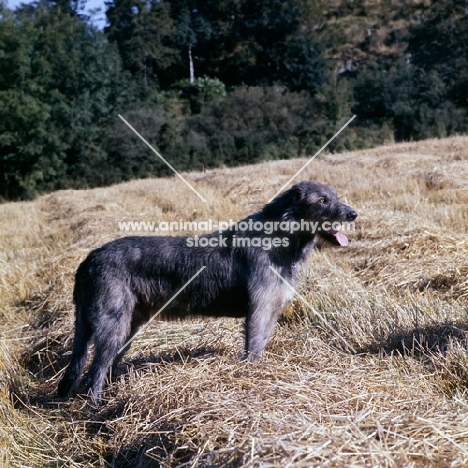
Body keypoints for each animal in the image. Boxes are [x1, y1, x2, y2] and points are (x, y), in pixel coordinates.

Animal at [58, 181, 358, 400]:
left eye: (335, 196)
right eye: (322, 200)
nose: (353, 214)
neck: (280, 238)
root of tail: (89, 260)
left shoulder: (272, 312)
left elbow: (260, 347)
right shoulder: (259, 311)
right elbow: (252, 349)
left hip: (128, 324)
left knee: (103, 365)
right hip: (112, 323)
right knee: (95, 371)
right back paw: (95, 407)